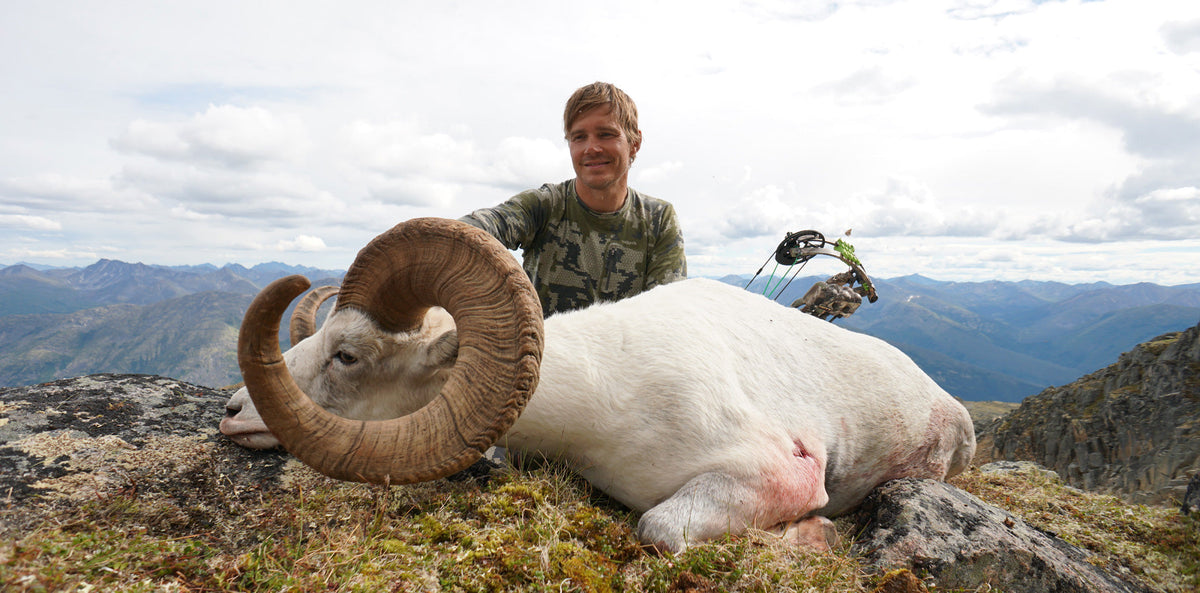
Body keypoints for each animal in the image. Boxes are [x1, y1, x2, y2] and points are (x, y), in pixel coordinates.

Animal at [227, 217, 976, 553]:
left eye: (347, 354)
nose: (233, 410)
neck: (606, 394)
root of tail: (956, 412)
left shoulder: (774, 470)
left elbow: (659, 527)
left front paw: (815, 533)